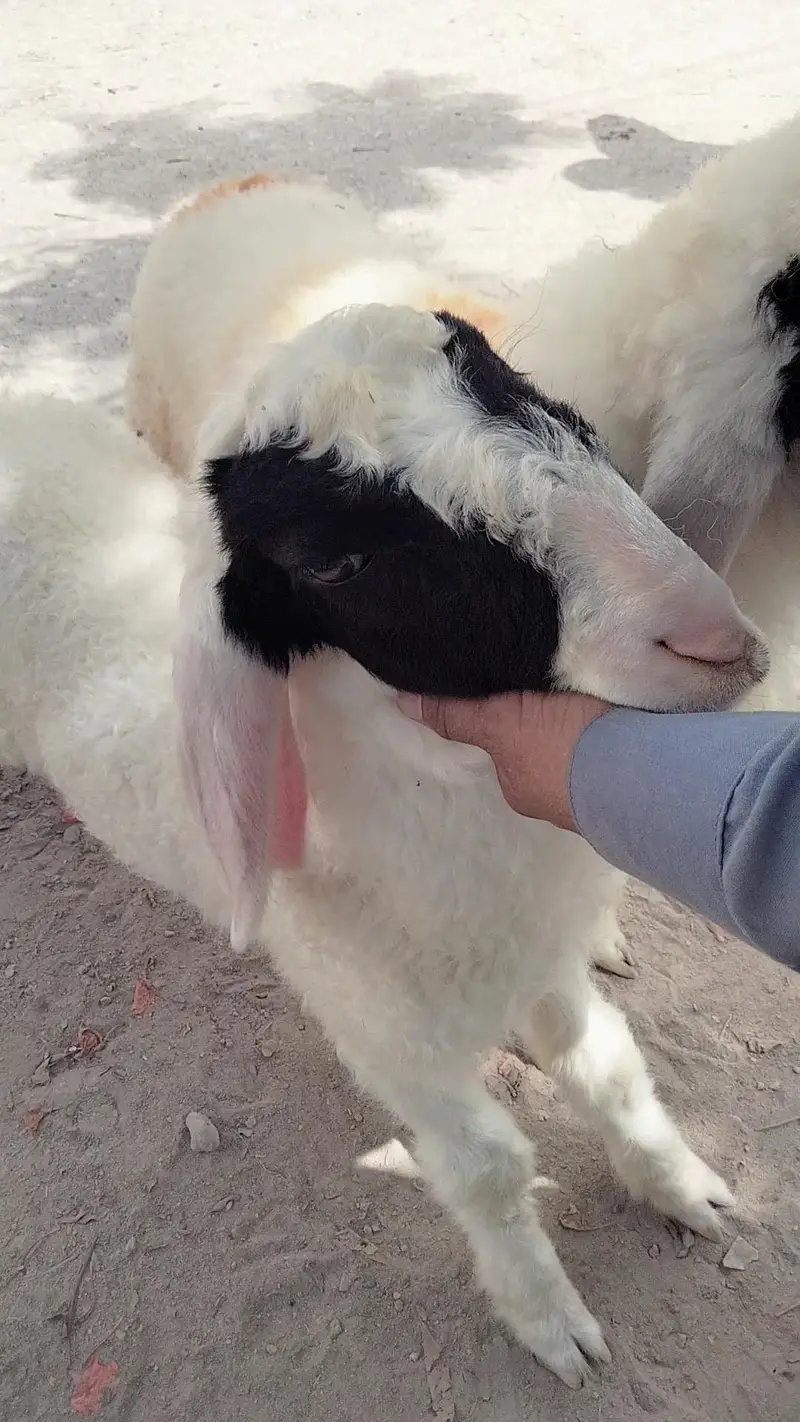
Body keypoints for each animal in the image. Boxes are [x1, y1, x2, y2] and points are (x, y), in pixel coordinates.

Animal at [0, 319, 766, 1383]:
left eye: (529, 394)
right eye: (335, 565)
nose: (710, 637)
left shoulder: (539, 961)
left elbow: (608, 1068)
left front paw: (684, 1188)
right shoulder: (388, 1037)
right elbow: (489, 1169)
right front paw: (551, 1322)